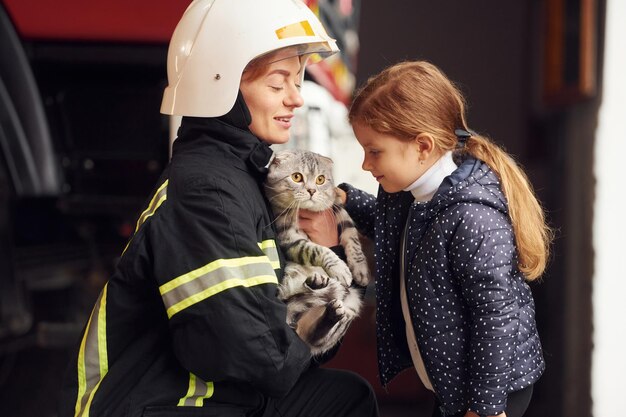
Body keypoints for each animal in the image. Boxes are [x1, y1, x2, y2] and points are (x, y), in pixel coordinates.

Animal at [262, 150, 368, 354]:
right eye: (297, 177)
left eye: (320, 179)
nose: (312, 191)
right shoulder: (288, 236)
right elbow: (316, 249)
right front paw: (340, 268)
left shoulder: (338, 209)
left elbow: (352, 239)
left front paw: (360, 270)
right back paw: (318, 284)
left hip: (351, 305)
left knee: (318, 336)